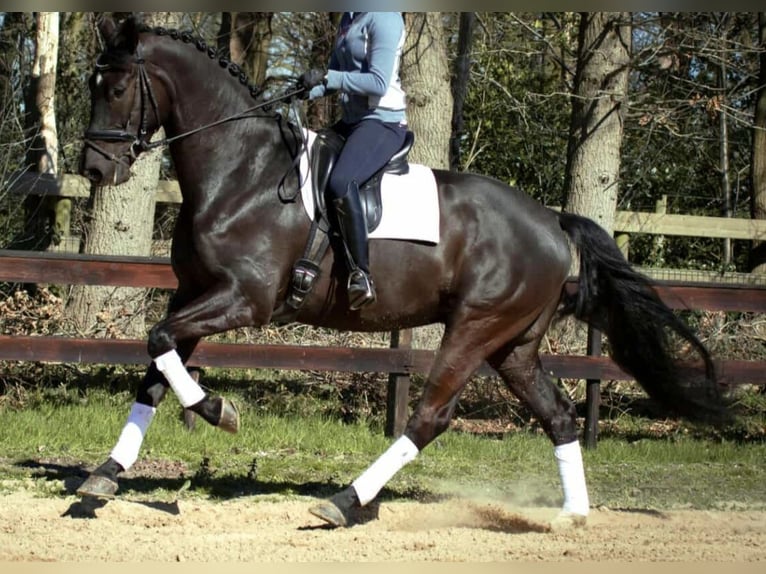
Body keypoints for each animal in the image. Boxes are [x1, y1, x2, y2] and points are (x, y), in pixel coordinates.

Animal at [76, 15, 729, 529]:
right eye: (91, 85)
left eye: (117, 87)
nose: (94, 169)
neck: (243, 171)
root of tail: (549, 220)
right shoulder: (192, 293)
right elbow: (155, 367)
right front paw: (105, 473)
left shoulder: (243, 299)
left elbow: (159, 343)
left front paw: (219, 412)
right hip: (513, 344)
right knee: (559, 415)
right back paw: (573, 518)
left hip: (474, 328)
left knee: (431, 415)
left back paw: (344, 502)